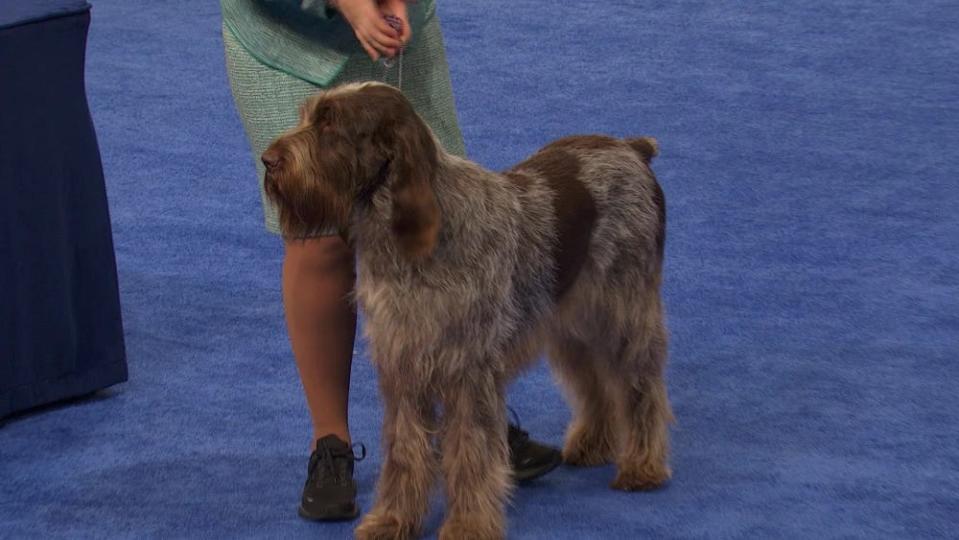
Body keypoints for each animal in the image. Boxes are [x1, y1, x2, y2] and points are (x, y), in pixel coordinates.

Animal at [258, 81, 672, 540]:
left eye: (331, 124)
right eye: (308, 115)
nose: (268, 160)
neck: (406, 244)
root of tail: (631, 149)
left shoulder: (468, 374)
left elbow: (470, 454)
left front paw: (468, 525)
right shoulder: (404, 370)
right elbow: (405, 452)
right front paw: (394, 519)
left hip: (624, 314)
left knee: (640, 387)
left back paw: (643, 465)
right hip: (571, 322)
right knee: (594, 383)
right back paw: (593, 444)